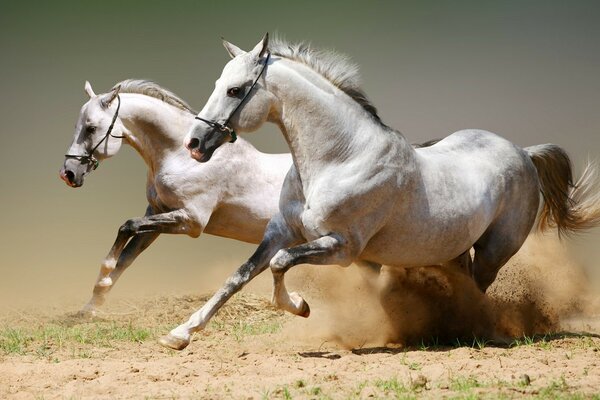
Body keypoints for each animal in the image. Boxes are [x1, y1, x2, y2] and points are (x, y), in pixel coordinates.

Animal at [59, 79, 292, 314]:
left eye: (91, 128)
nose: (68, 174)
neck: (182, 158)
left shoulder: (191, 221)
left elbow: (127, 226)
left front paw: (103, 277)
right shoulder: (157, 214)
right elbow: (126, 256)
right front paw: (90, 307)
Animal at [158, 35, 600, 350]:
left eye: (235, 90)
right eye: (219, 84)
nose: (195, 143)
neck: (340, 158)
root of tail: (523, 152)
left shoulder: (341, 247)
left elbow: (282, 265)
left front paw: (299, 306)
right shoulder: (280, 232)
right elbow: (238, 277)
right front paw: (179, 334)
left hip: (495, 250)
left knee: (479, 288)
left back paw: (468, 331)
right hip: (454, 249)